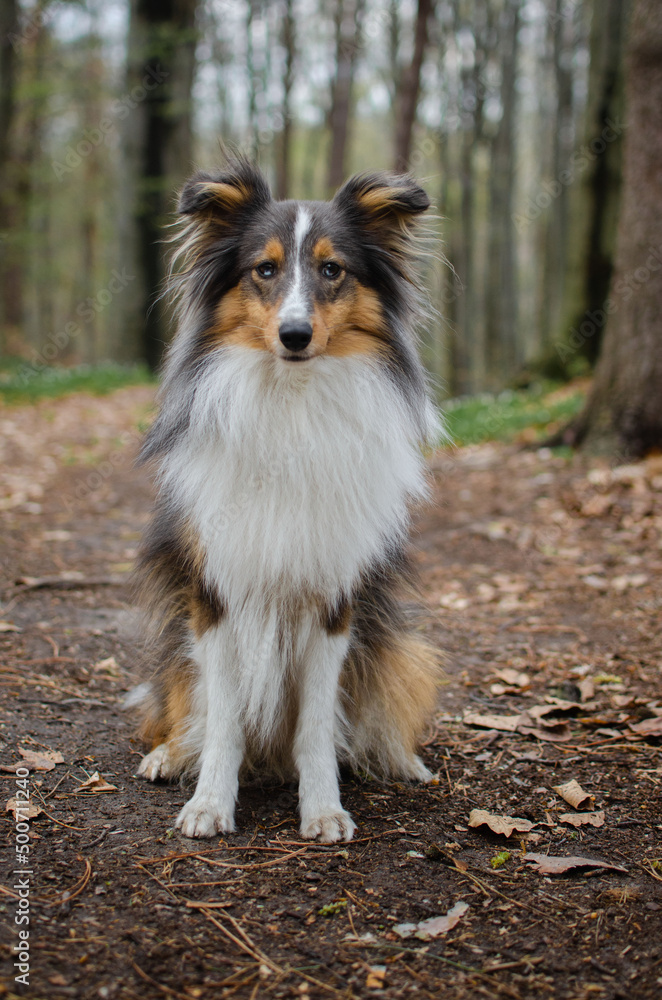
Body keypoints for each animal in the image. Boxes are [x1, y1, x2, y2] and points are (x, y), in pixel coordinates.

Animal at [130, 158, 444, 844]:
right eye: (265, 269)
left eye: (332, 270)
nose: (294, 335)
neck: (291, 404)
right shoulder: (215, 592)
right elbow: (223, 719)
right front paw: (209, 804)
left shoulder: (333, 600)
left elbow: (318, 725)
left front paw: (323, 807)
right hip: (176, 653)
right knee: (182, 707)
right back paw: (169, 754)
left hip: (401, 653)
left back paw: (403, 762)